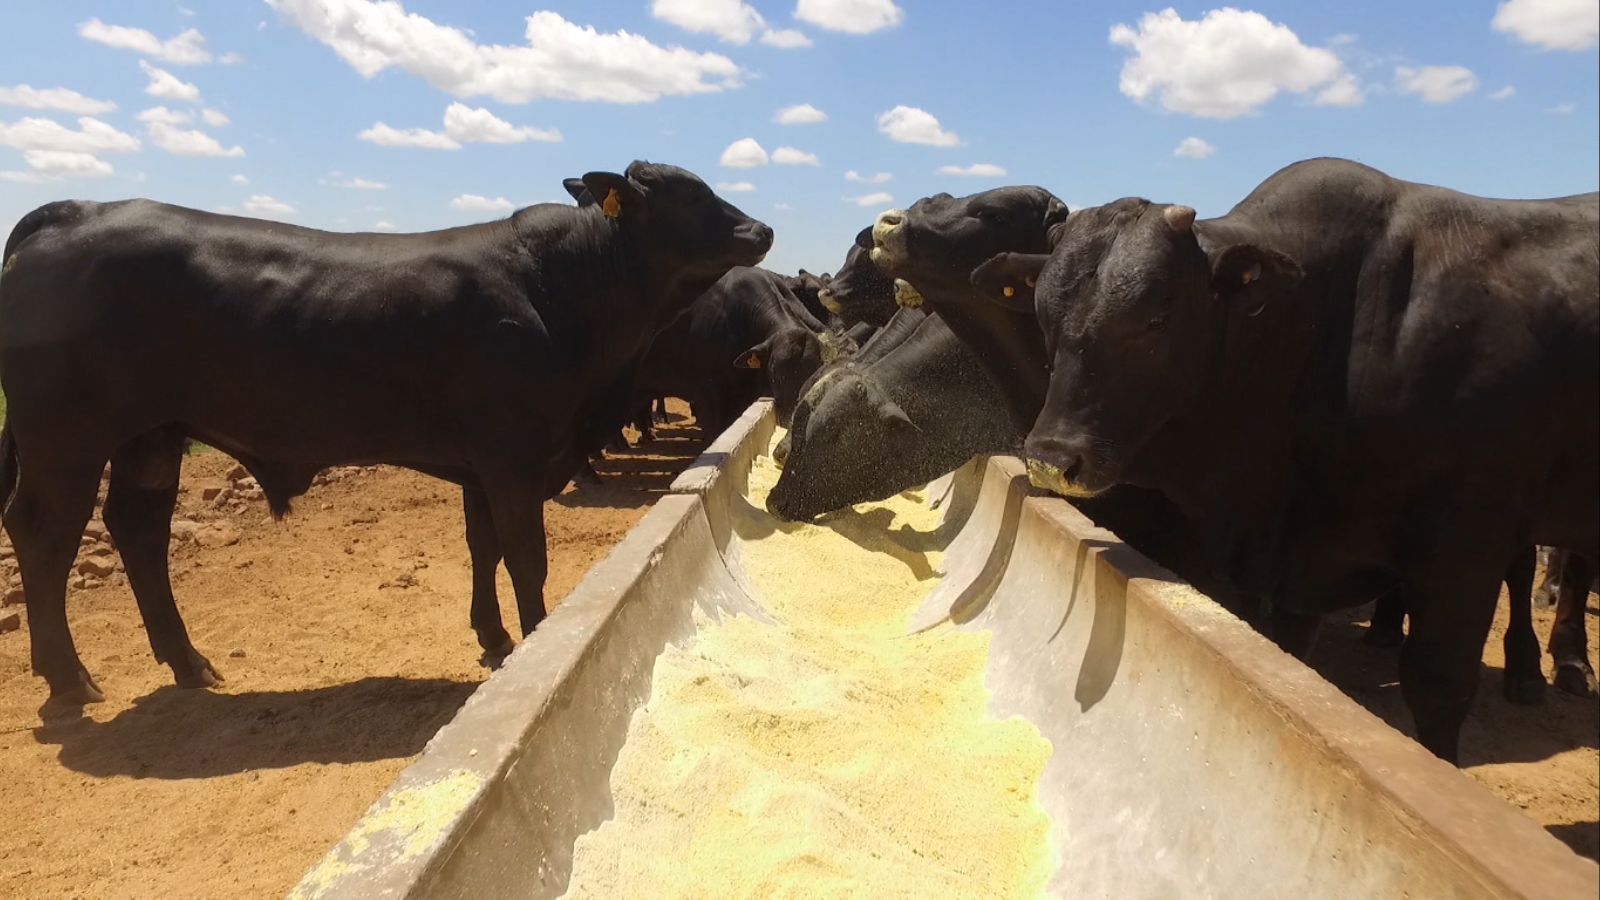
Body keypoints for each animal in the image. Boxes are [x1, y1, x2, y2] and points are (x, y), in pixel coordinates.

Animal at [0, 159, 774, 701]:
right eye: (690, 195)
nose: (762, 229)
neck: (559, 289)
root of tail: (71, 211)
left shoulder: (480, 466)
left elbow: (483, 549)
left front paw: (494, 636)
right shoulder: (512, 458)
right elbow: (525, 557)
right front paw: (532, 639)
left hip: (152, 439)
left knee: (138, 530)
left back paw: (188, 662)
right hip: (66, 444)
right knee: (45, 538)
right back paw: (70, 679)